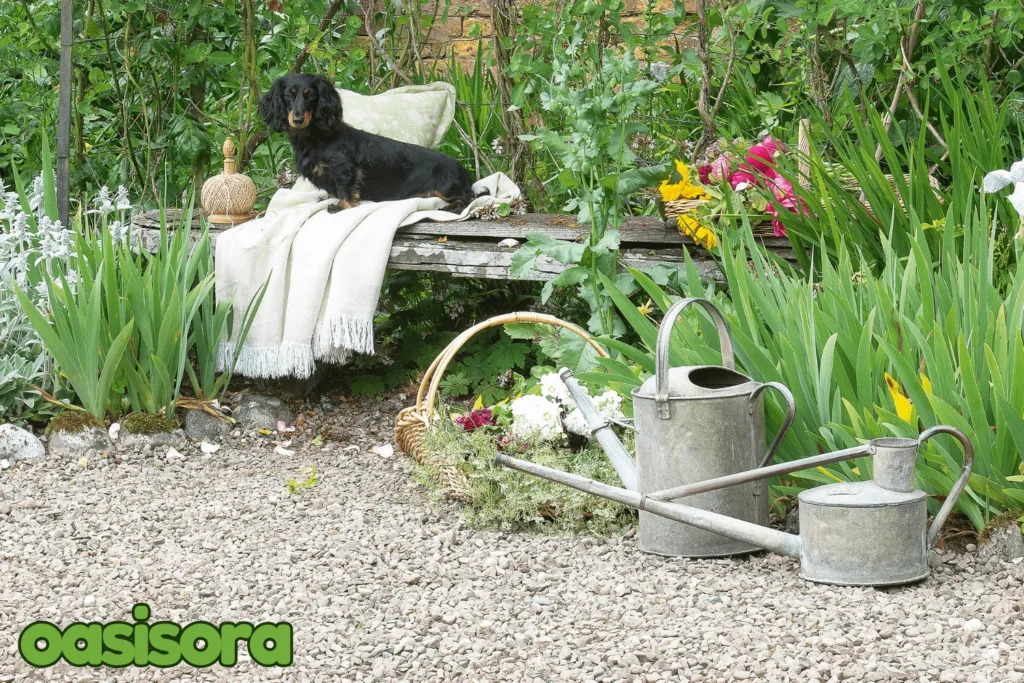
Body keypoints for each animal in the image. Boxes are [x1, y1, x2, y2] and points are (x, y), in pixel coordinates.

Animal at [256, 71, 479, 210]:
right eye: (289, 95)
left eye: (309, 95)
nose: (298, 119)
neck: (315, 138)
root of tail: (463, 172)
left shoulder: (344, 170)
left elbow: (344, 189)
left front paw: (342, 206)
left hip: (447, 188)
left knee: (466, 199)